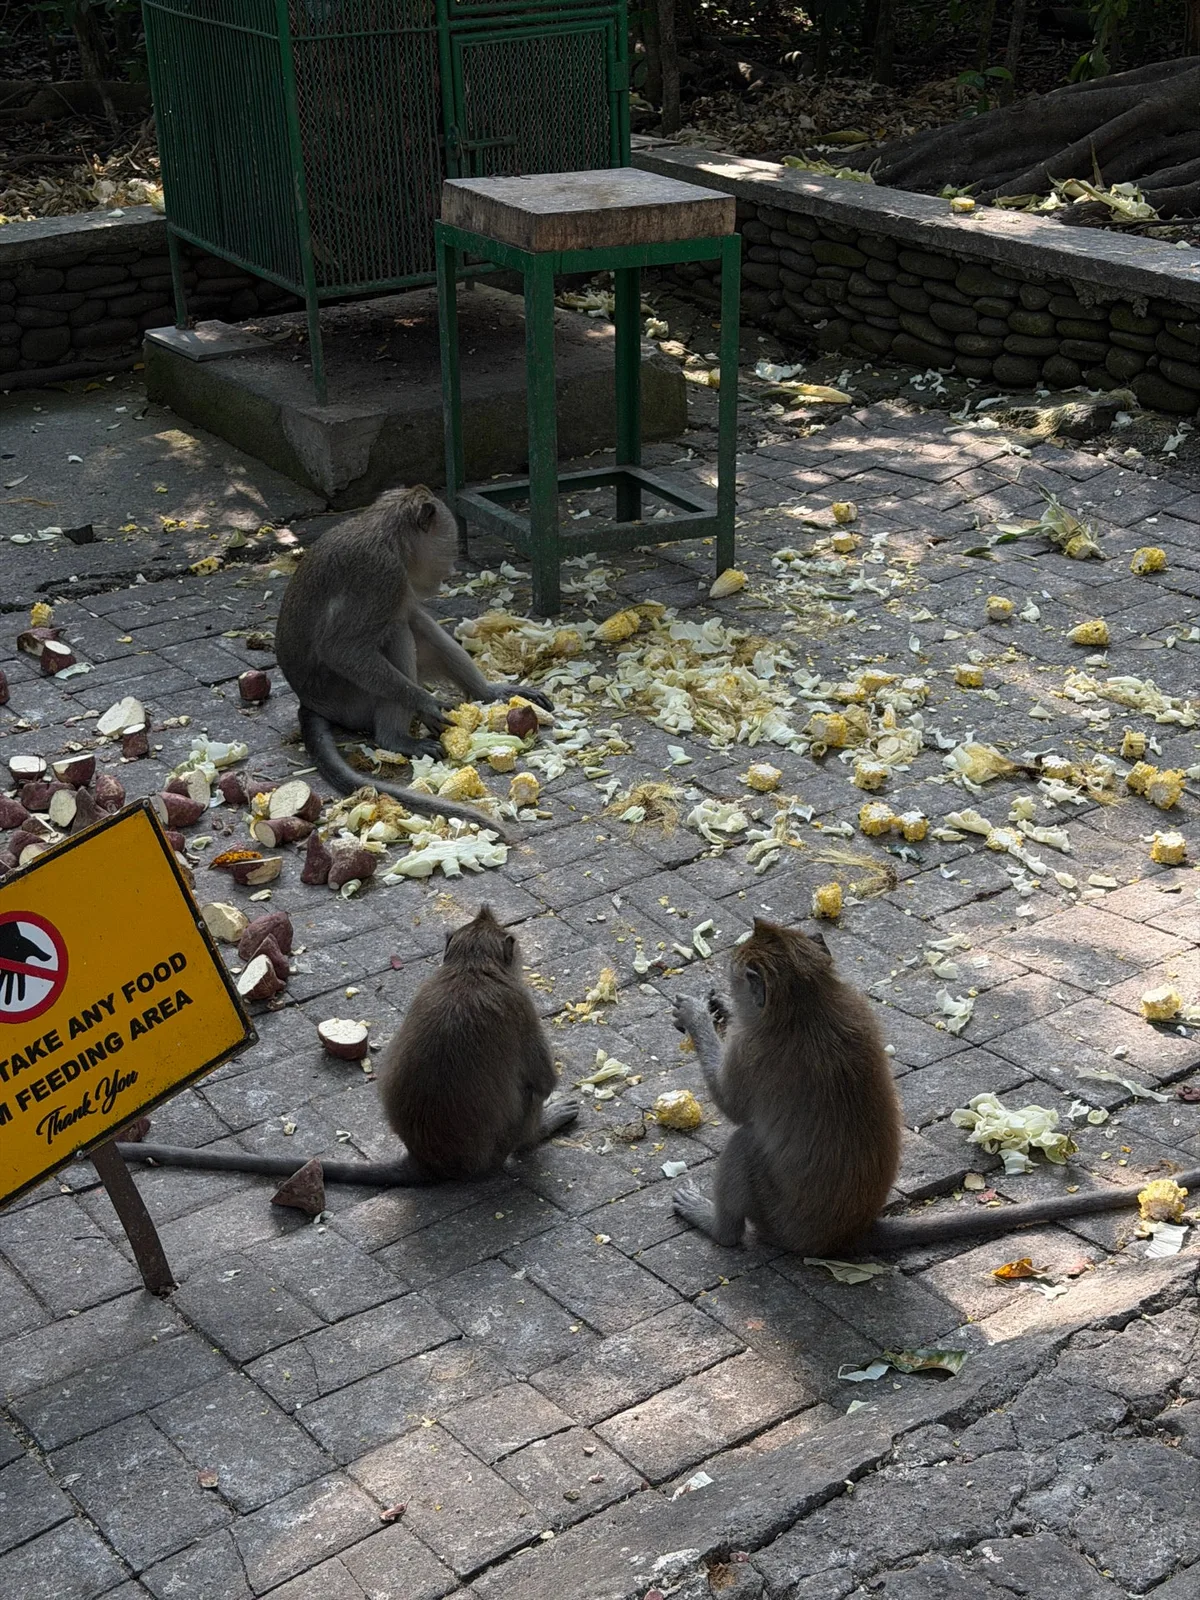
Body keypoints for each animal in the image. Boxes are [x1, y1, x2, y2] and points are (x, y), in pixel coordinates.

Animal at [274, 485, 551, 830]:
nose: (448, 570)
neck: (388, 536)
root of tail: (308, 703)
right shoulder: (384, 577)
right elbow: (341, 649)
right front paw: (425, 704)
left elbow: (412, 618)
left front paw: (486, 694)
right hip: (348, 699)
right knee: (397, 632)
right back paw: (395, 739)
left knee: (409, 622)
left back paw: (487, 693)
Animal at [376, 904, 579, 1182]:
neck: (470, 967)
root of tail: (426, 1159)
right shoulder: (521, 1004)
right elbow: (544, 1081)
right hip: (501, 1147)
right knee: (529, 1093)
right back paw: (539, 1133)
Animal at [669, 918, 1200, 1256]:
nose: (726, 991)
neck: (810, 1000)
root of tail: (849, 1234)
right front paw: (712, 1008)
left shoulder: (754, 1048)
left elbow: (732, 1107)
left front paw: (699, 1017)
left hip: (775, 1217)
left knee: (744, 1144)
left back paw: (718, 1229)